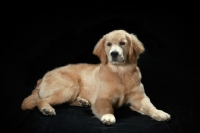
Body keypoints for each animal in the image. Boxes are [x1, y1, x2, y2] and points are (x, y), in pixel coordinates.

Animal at [21, 29, 170, 125]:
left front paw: (159, 113)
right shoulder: (101, 98)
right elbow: (107, 107)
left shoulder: (139, 97)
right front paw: (108, 116)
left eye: (123, 43)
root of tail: (43, 77)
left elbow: (149, 106)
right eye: (108, 44)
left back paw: (82, 102)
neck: (120, 72)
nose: (114, 53)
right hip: (69, 87)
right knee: (41, 100)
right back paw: (47, 109)